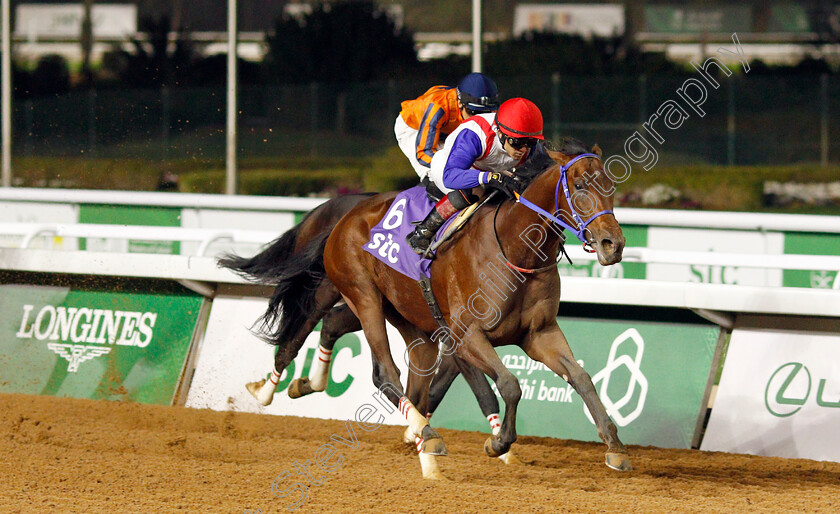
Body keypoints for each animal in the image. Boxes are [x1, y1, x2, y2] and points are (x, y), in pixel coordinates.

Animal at [316, 139, 632, 476]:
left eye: (611, 185)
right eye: (580, 184)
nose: (613, 244)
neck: (515, 248)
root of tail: (347, 216)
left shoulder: (540, 333)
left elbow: (582, 377)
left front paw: (614, 446)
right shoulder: (466, 335)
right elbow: (509, 384)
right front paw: (499, 442)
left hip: (411, 317)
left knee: (418, 379)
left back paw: (421, 439)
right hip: (364, 297)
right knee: (386, 374)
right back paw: (427, 435)